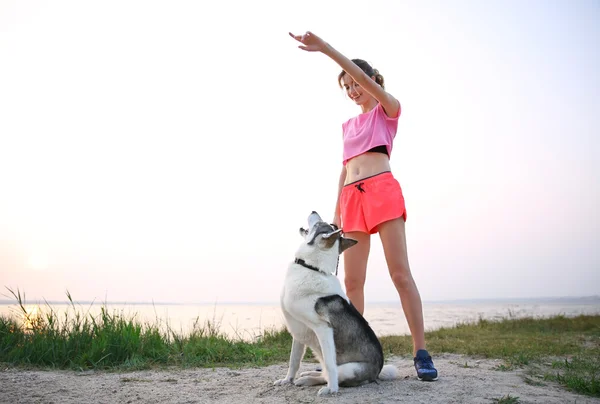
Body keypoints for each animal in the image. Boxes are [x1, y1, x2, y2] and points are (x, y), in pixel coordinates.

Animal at [276, 213, 398, 396]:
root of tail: (377, 373)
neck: (311, 267)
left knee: (330, 373)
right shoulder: (298, 330)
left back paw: (315, 381)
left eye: (318, 224)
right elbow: (294, 361)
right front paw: (287, 380)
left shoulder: (323, 328)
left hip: (348, 369)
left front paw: (331, 390)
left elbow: (329, 365)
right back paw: (306, 376)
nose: (313, 211)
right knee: (323, 373)